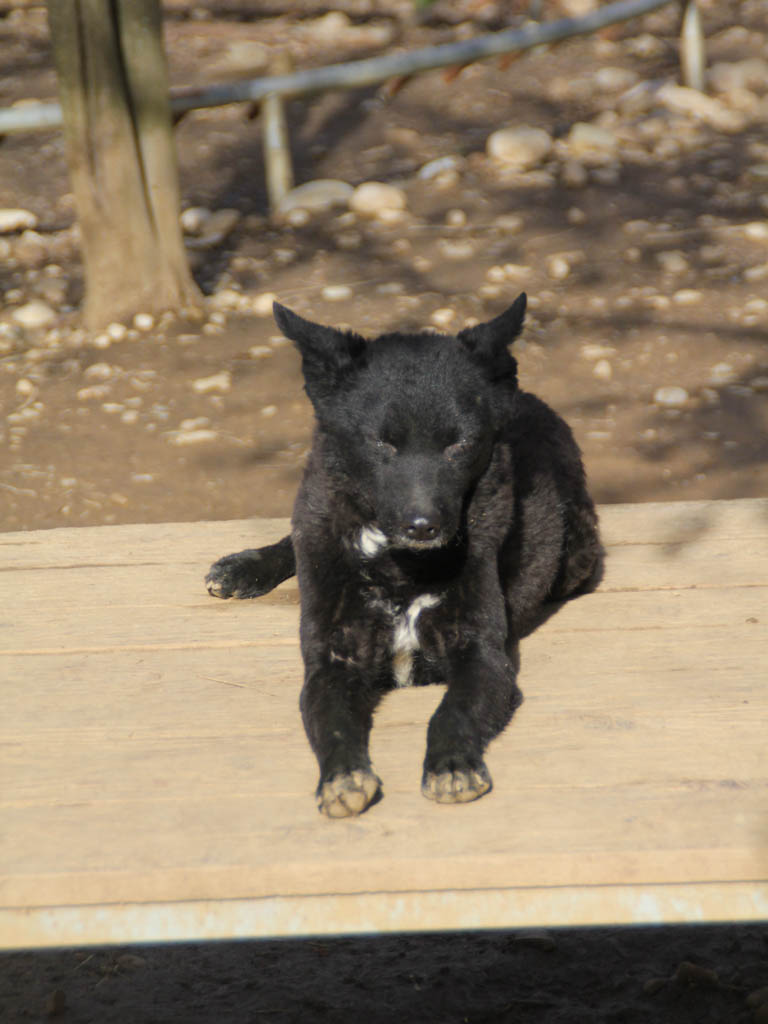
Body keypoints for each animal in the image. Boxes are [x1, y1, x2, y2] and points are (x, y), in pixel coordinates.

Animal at [206, 293, 602, 817]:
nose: (423, 526)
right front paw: (341, 777)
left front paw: (452, 765)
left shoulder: (482, 656)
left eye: (460, 443)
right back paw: (244, 566)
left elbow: (450, 712)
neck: (399, 570)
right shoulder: (331, 659)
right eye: (381, 442)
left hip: (578, 553)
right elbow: (331, 721)